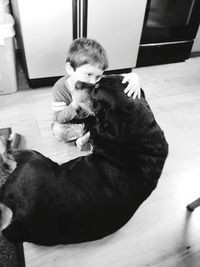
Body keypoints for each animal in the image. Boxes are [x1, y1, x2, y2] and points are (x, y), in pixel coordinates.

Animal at [0, 75, 169, 247]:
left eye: (95, 91)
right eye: (98, 79)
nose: (77, 82)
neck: (140, 134)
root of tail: (19, 221)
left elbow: (92, 121)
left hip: (35, 159)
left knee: (7, 154)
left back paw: (7, 137)